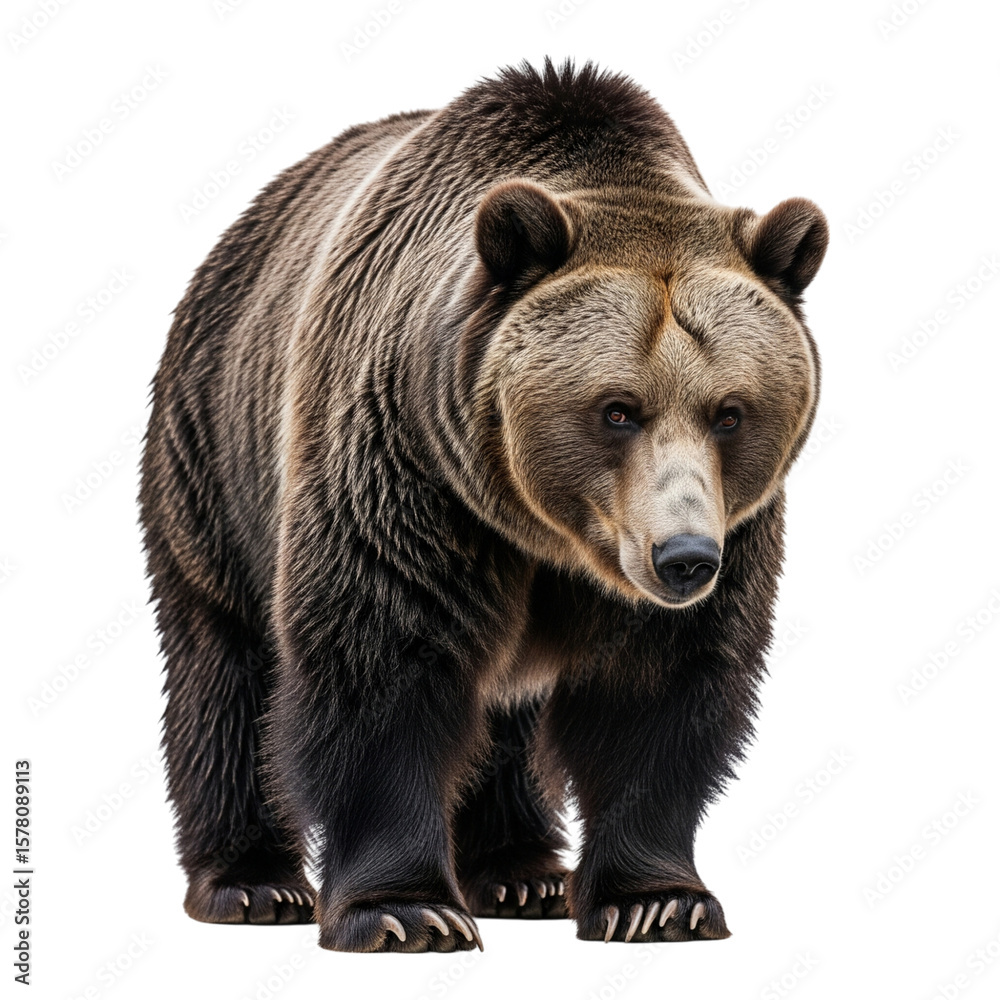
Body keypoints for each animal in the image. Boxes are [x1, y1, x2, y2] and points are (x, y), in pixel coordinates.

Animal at [139, 58, 827, 953]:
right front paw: (405, 910)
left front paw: (658, 901)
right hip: (215, 453)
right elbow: (385, 662)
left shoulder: (727, 531)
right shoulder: (409, 473)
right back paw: (252, 883)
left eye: (731, 411)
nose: (682, 558)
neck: (545, 529)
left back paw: (521, 872)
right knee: (225, 670)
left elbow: (658, 685)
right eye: (617, 409)